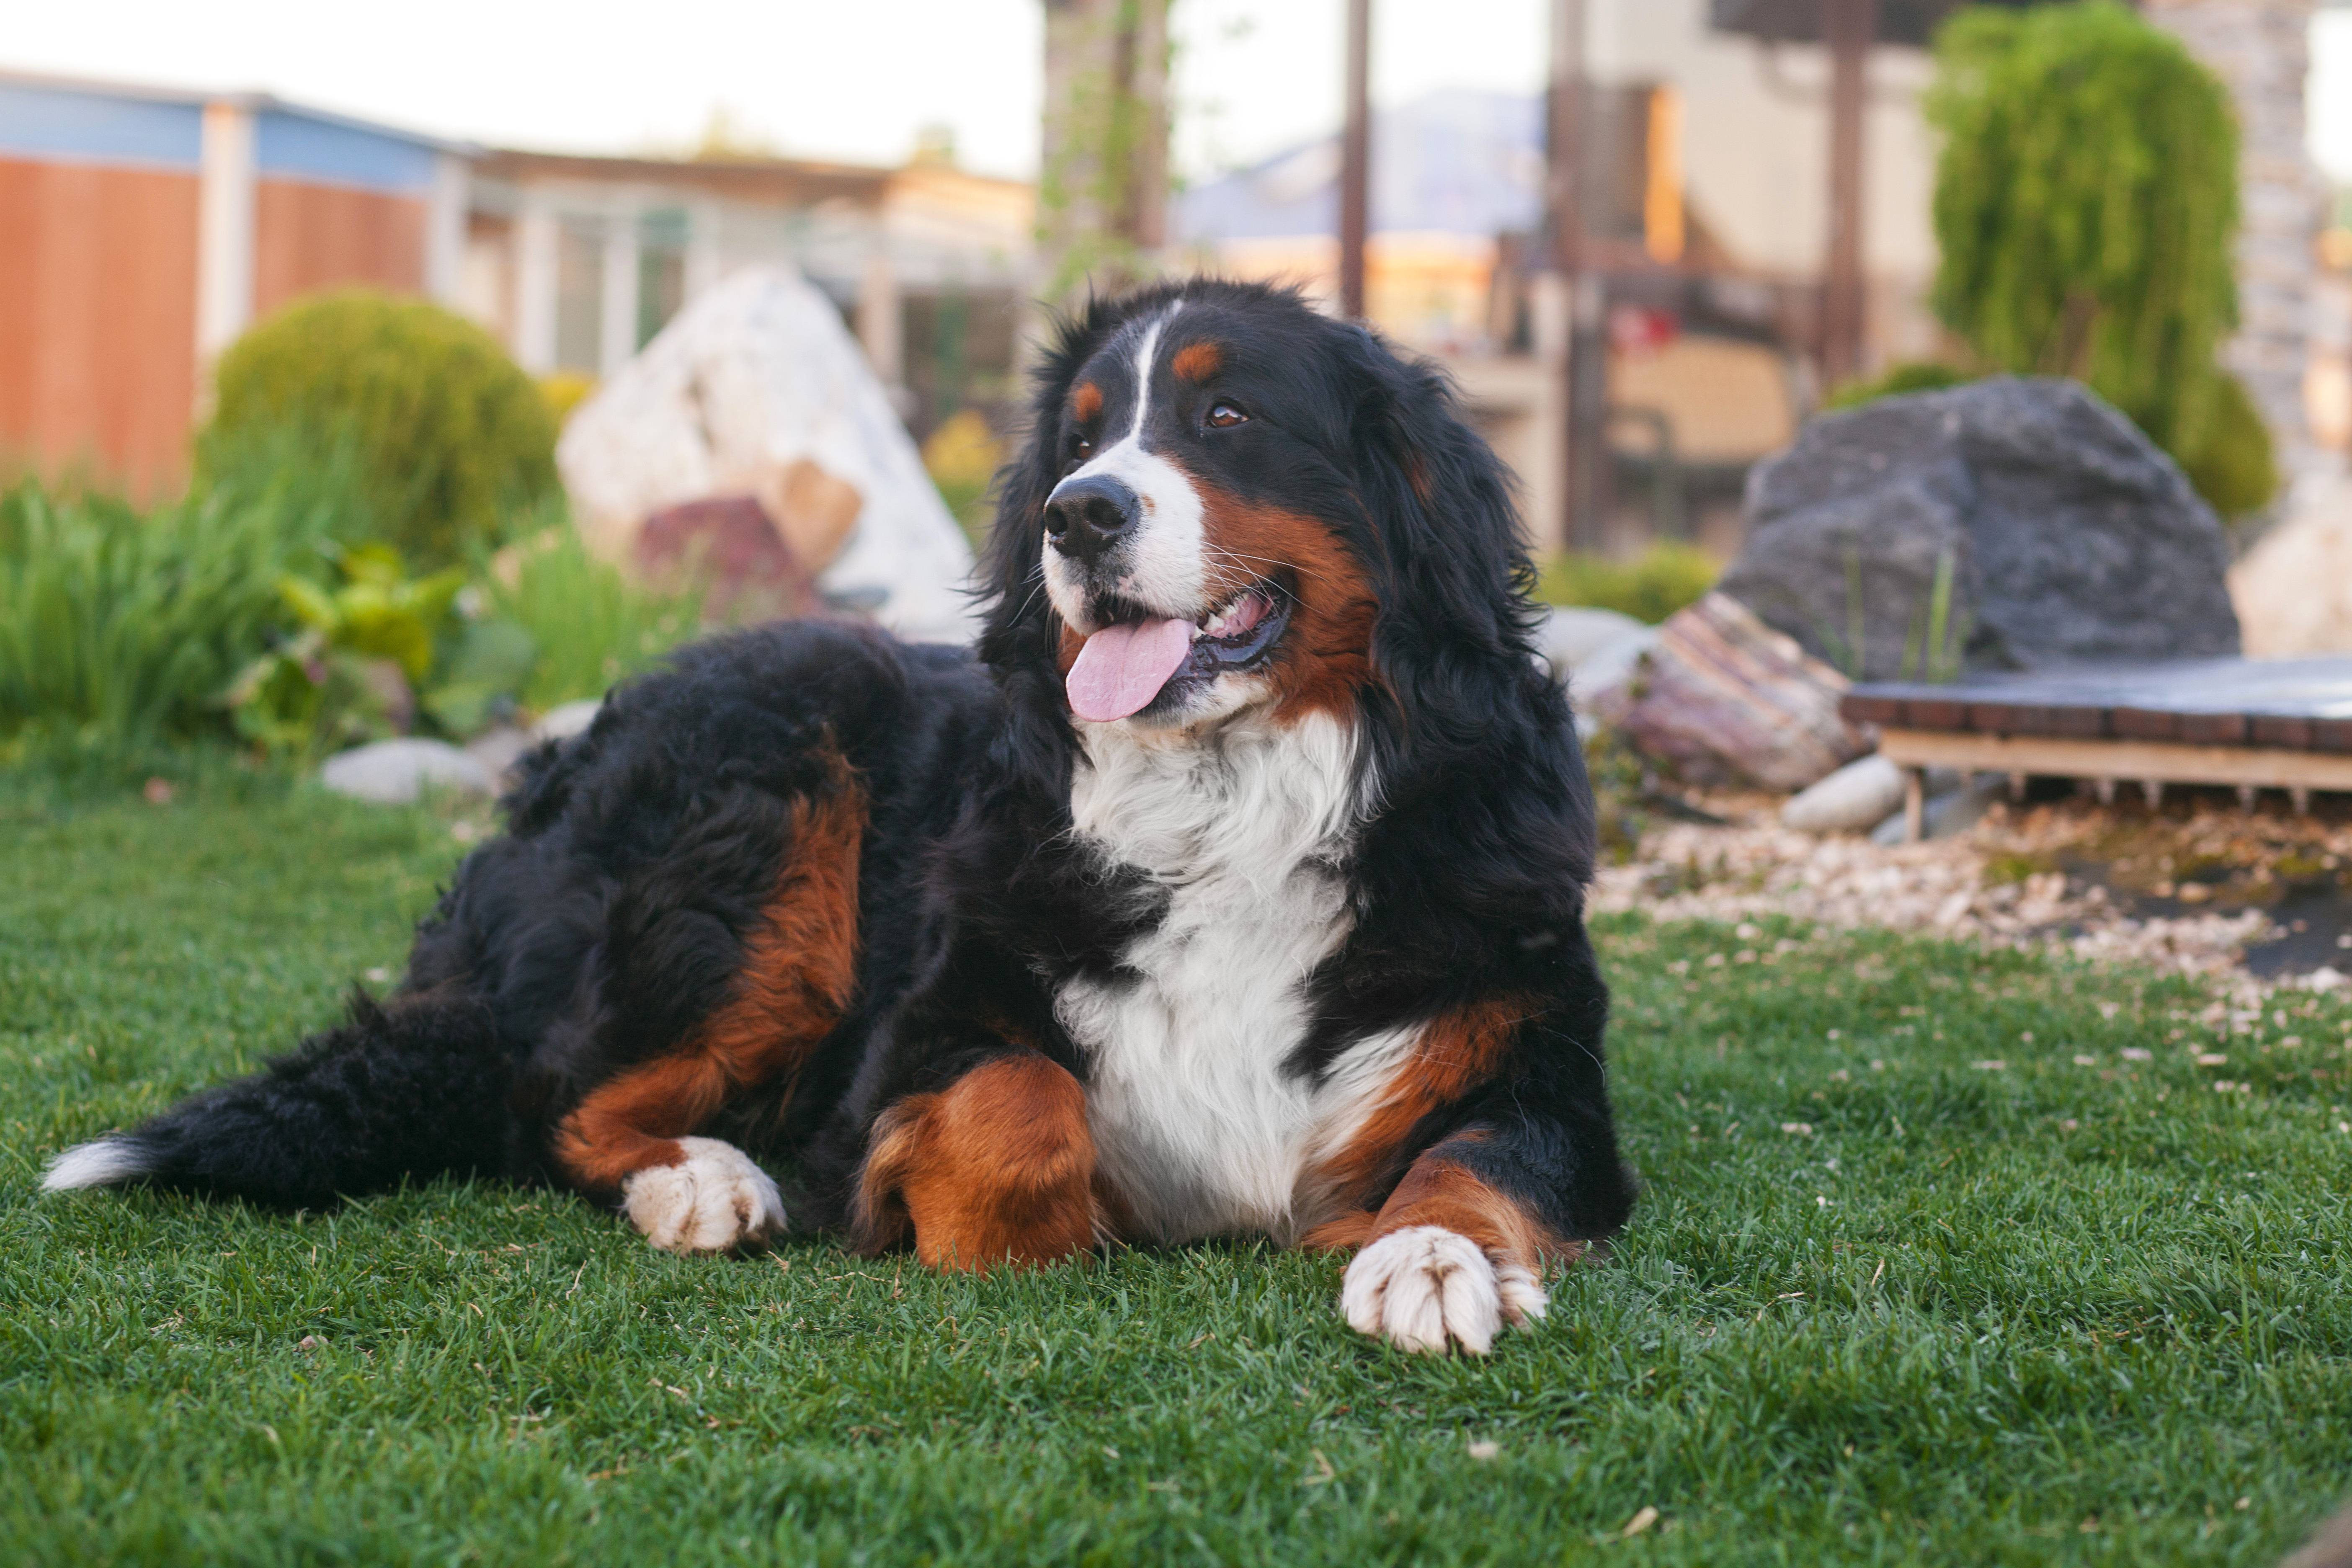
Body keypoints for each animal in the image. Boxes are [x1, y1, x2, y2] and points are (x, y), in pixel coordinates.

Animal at [50, 276, 1637, 1354]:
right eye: (1076, 439)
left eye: (1229, 417)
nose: (1076, 513)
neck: (1228, 801)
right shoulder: (924, 1026)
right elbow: (1020, 1110)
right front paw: (996, 1224)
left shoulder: (1539, 1064)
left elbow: (1473, 1157)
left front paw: (1427, 1259)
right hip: (776, 785)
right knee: (552, 1097)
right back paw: (701, 1184)